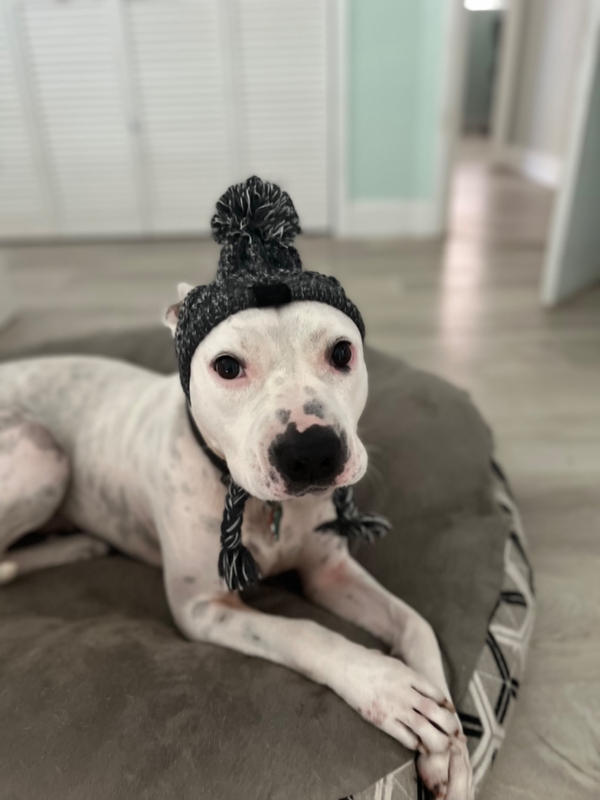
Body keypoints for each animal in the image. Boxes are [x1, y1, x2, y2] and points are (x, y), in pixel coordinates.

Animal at [2, 181, 476, 800]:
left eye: (342, 352)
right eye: (226, 366)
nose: (311, 450)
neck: (266, 509)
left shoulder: (330, 571)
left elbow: (416, 623)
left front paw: (454, 752)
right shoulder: (204, 609)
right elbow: (303, 632)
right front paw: (389, 688)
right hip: (42, 454)